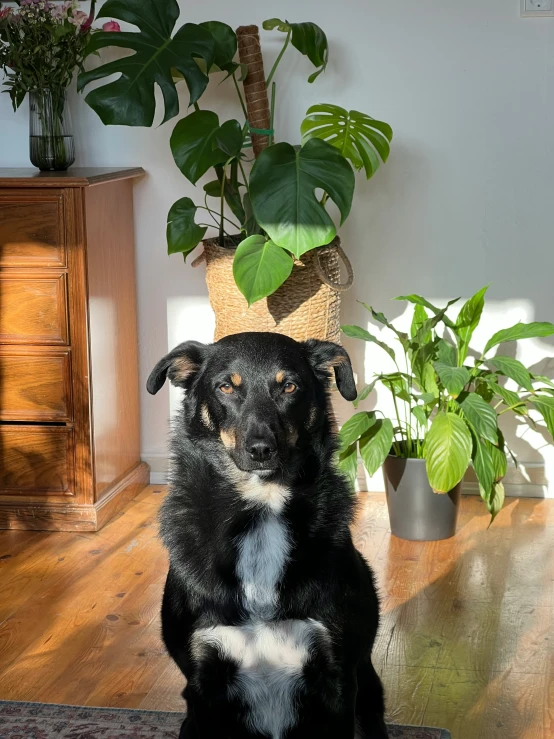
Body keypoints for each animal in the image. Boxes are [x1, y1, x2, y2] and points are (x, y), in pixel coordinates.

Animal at [149, 332, 386, 736]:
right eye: (227, 386)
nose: (261, 449)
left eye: (289, 386)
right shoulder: (204, 683)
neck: (262, 511)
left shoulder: (337, 678)